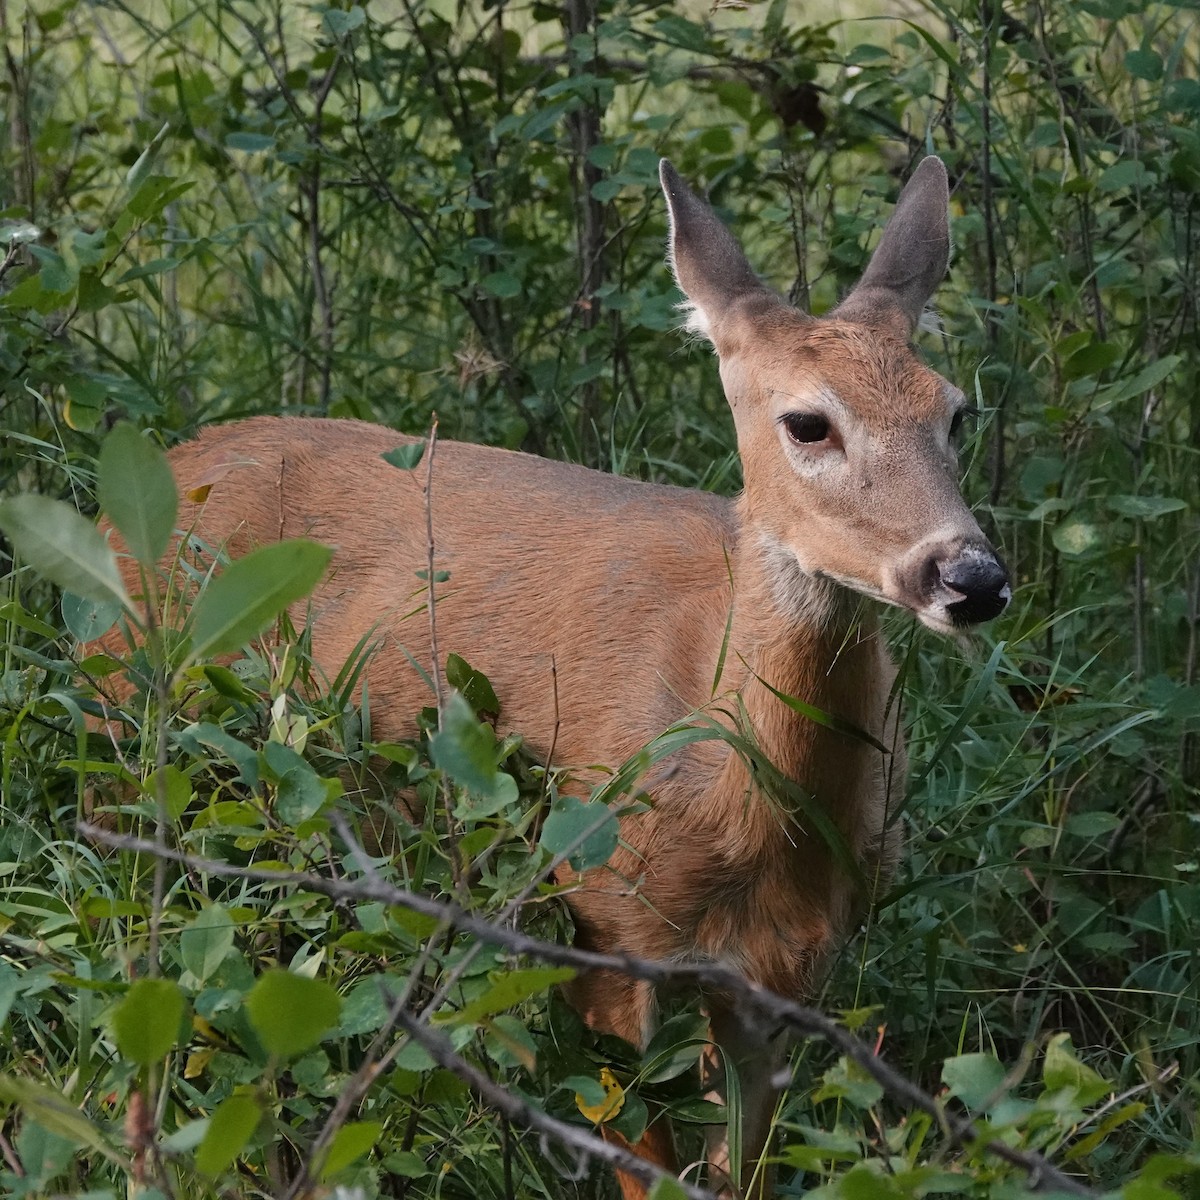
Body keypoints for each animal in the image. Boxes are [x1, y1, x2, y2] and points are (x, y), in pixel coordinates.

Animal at [99, 156, 1009, 1198]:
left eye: (955, 411)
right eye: (808, 422)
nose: (971, 577)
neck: (739, 795)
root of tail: (158, 467)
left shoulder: (788, 968)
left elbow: (743, 1164)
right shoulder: (600, 921)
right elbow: (640, 1155)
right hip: (124, 732)